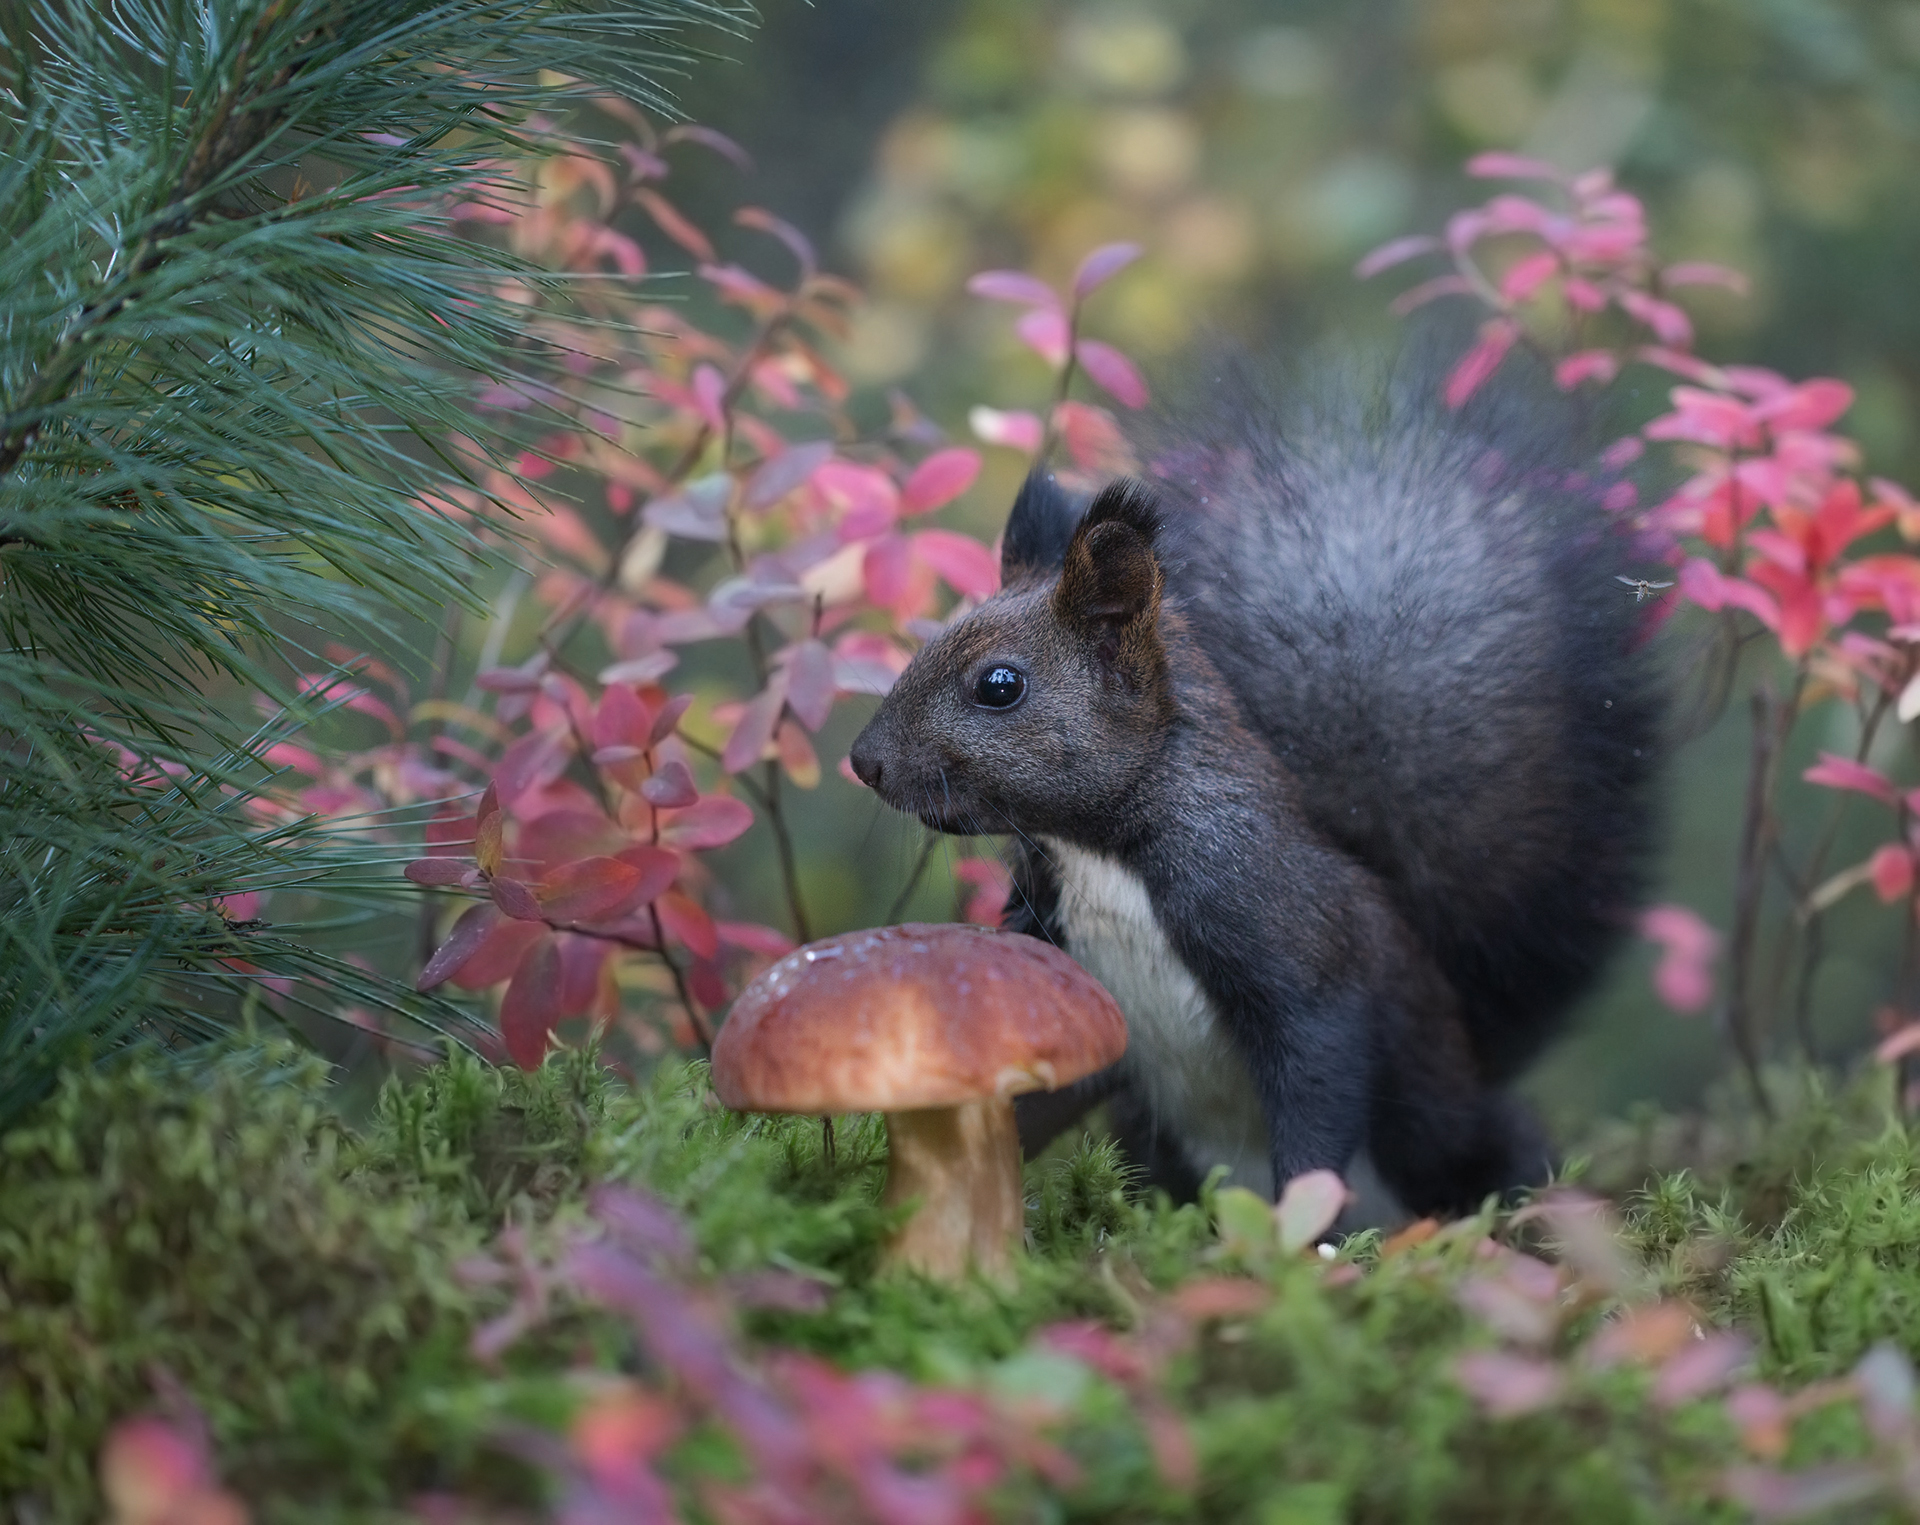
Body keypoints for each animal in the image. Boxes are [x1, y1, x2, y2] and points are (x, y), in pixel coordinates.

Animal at [848, 343, 1658, 1213]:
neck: (1098, 853)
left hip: (1440, 1126)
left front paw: (1301, 1228)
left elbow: (1317, 1079)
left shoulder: (1295, 945)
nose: (864, 760)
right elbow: (1026, 1093)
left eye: (999, 685)